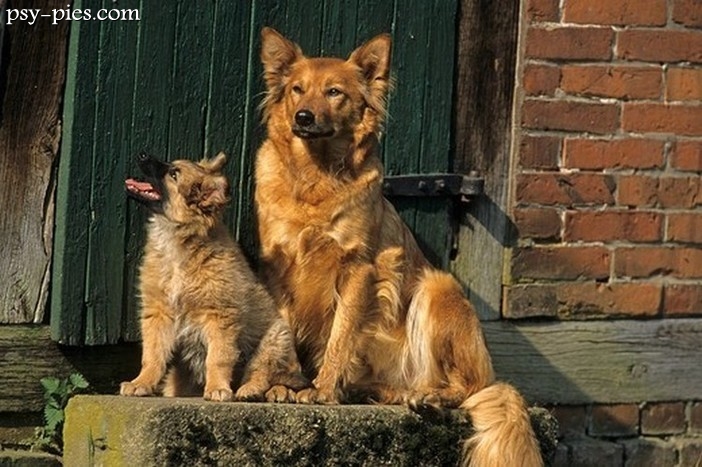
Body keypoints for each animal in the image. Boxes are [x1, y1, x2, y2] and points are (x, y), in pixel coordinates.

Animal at [120, 151, 307, 402]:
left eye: (174, 174)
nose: (141, 154)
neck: (179, 243)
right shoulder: (158, 313)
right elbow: (152, 355)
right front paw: (142, 382)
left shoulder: (220, 316)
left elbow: (218, 358)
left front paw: (218, 387)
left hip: (275, 337)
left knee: (266, 374)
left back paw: (255, 390)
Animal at [253, 27, 543, 466]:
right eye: (297, 90)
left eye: (334, 92)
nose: (303, 116)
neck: (315, 177)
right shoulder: (277, 267)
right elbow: (283, 330)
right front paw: (286, 384)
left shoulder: (358, 268)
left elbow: (340, 335)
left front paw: (322, 390)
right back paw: (378, 391)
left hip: (438, 289)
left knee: (465, 386)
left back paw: (427, 398)